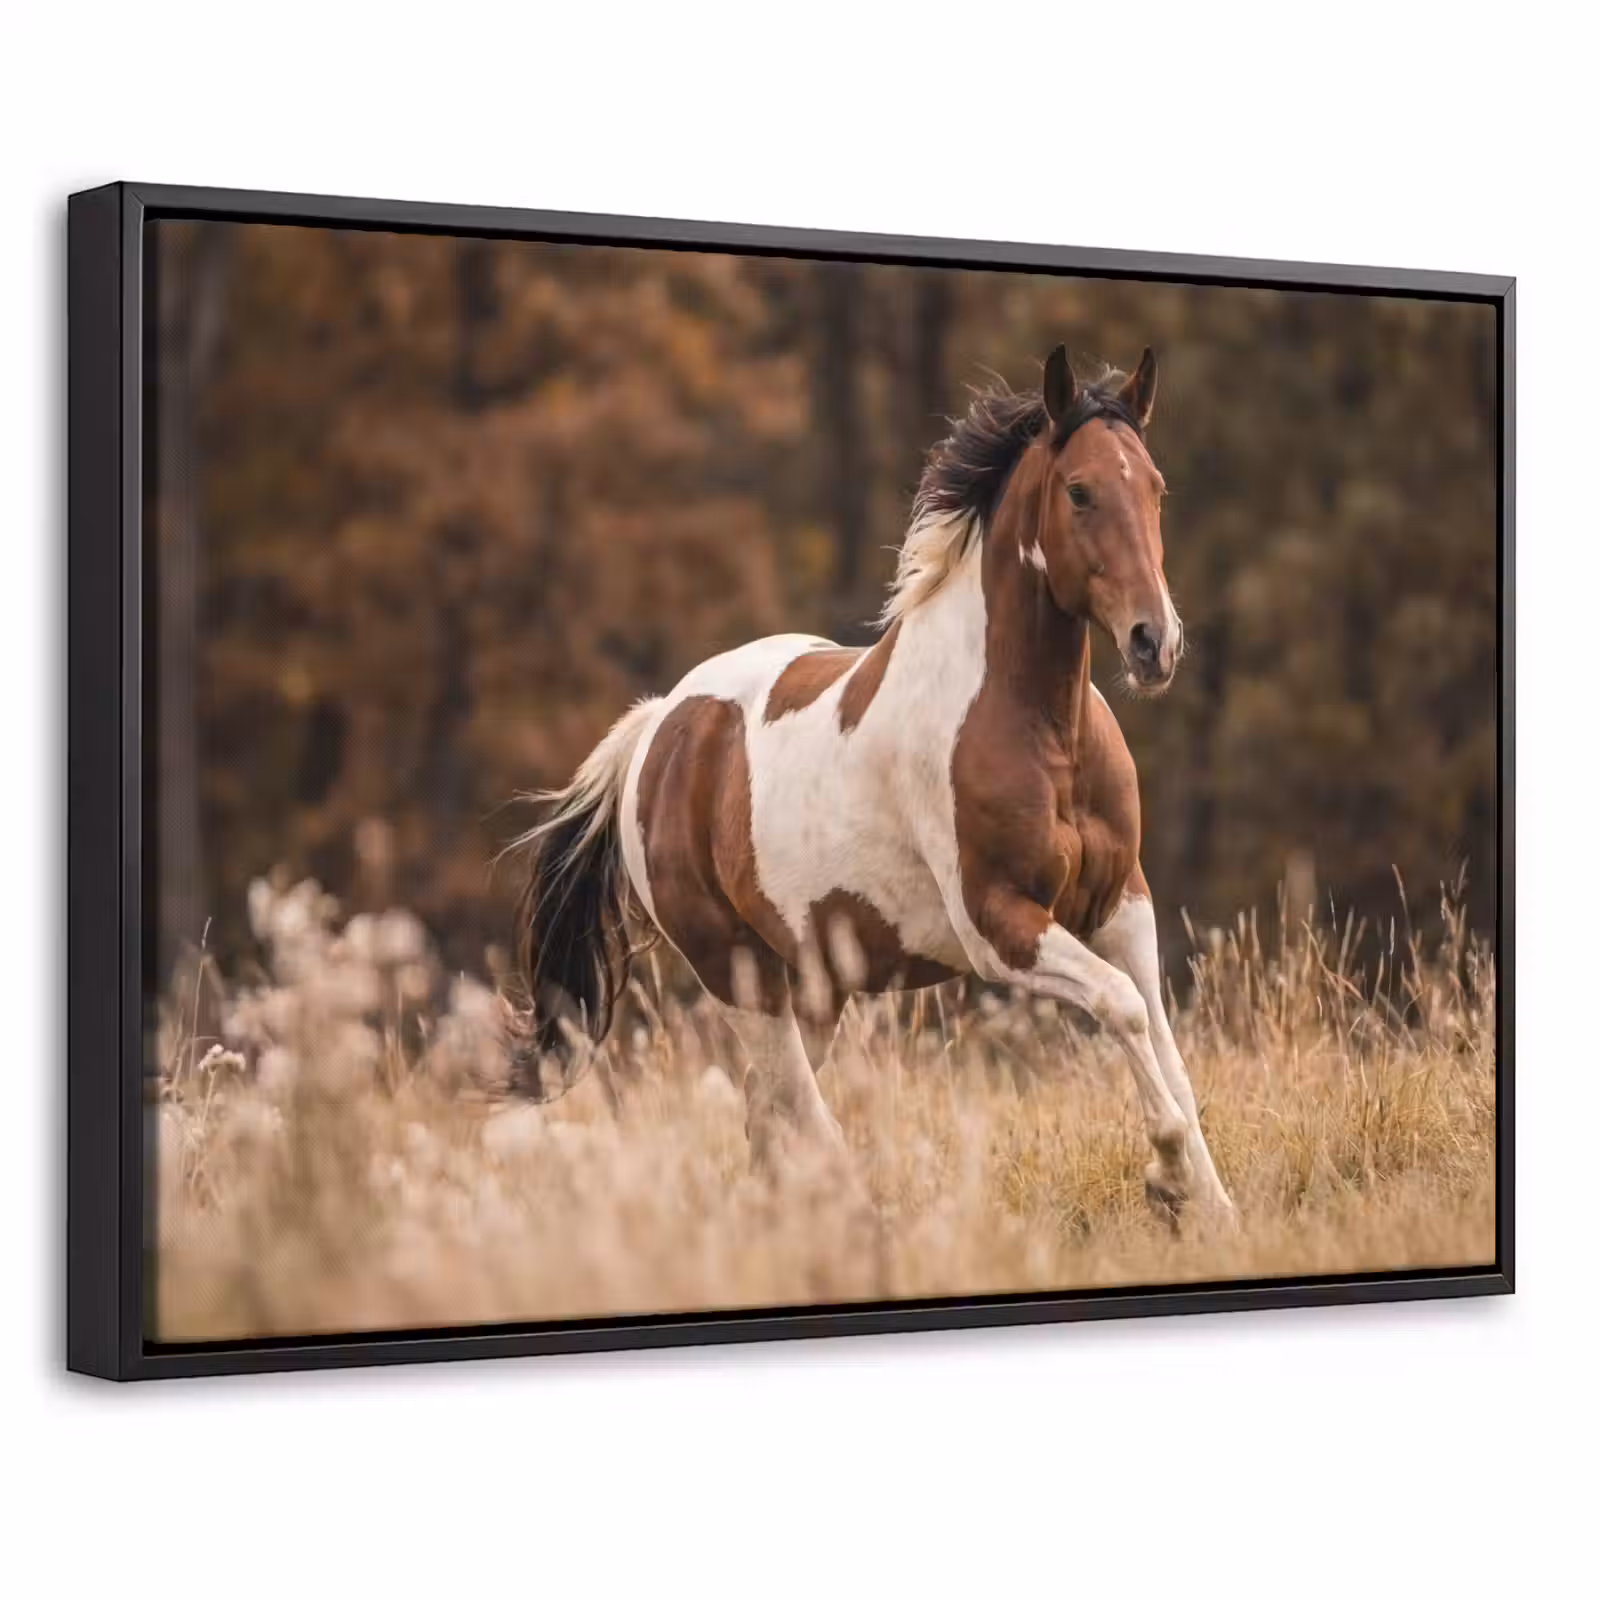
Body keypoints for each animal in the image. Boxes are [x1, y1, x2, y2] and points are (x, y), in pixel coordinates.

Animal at [511, 345, 1234, 1222]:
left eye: (1155, 487)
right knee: (795, 1113)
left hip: (813, 987)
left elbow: (1164, 1042)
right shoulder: (1000, 927)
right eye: (1080, 490)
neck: (1042, 731)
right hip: (740, 974)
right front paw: (1166, 1174)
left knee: (768, 1113)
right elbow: (1123, 1008)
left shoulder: (1121, 905)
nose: (1153, 643)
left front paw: (1213, 1205)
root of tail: (658, 727)